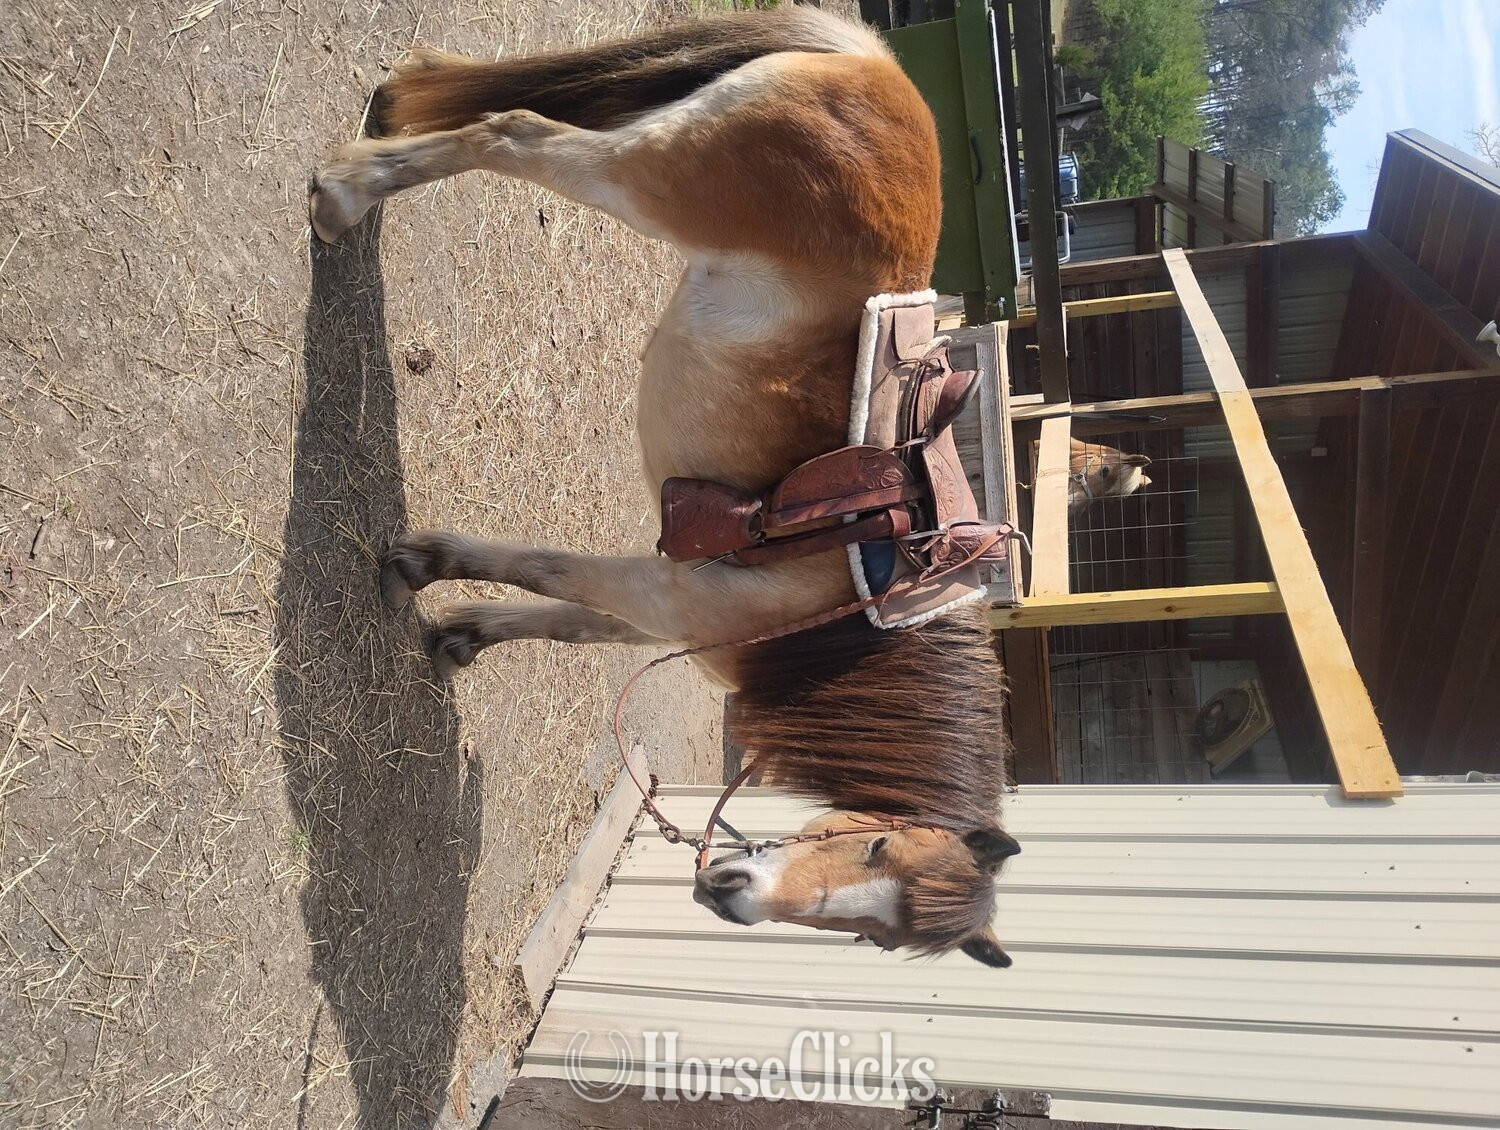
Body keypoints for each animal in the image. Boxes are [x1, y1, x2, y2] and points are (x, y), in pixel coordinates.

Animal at [309, 7, 1020, 967]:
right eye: (875, 841)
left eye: (875, 938)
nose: (730, 895)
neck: (842, 610)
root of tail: (877, 68)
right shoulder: (669, 589)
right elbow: (550, 568)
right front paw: (420, 564)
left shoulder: (671, 608)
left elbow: (567, 618)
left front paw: (465, 634)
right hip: (639, 175)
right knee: (516, 132)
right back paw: (347, 195)